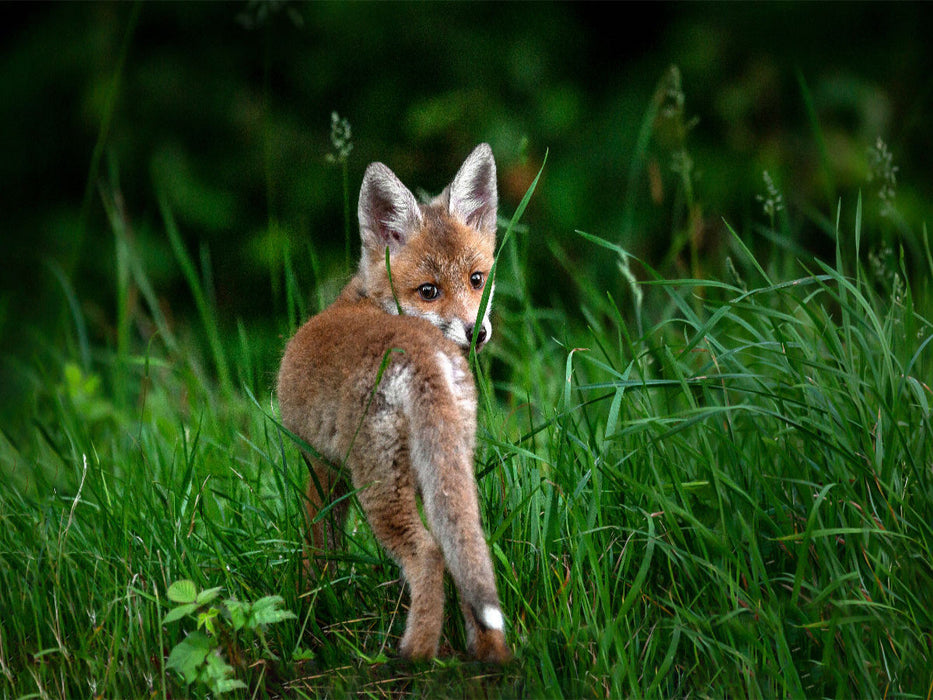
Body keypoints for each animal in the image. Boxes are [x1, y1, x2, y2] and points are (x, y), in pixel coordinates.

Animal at [276, 143, 511, 664]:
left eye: (476, 280)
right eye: (429, 291)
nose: (476, 332)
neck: (365, 298)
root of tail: (421, 353)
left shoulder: (322, 466)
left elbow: (317, 549)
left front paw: (309, 612)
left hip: (379, 484)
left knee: (428, 556)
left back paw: (414, 658)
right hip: (446, 471)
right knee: (465, 553)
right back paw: (489, 656)